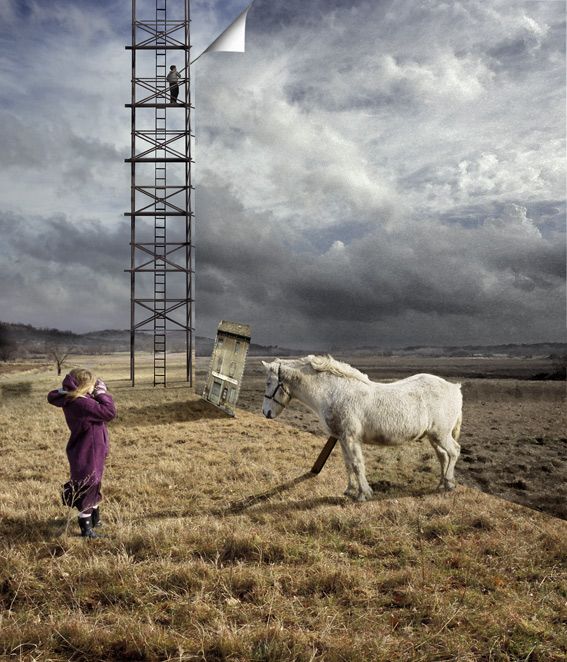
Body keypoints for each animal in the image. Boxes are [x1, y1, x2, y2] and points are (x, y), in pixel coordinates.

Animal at [264, 358, 464, 504]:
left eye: (268, 382)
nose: (266, 413)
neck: (334, 393)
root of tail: (454, 388)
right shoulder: (342, 439)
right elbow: (348, 464)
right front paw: (350, 490)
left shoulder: (351, 438)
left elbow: (357, 464)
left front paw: (363, 494)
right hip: (433, 437)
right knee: (443, 456)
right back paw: (442, 484)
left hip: (441, 435)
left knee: (454, 451)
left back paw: (449, 484)